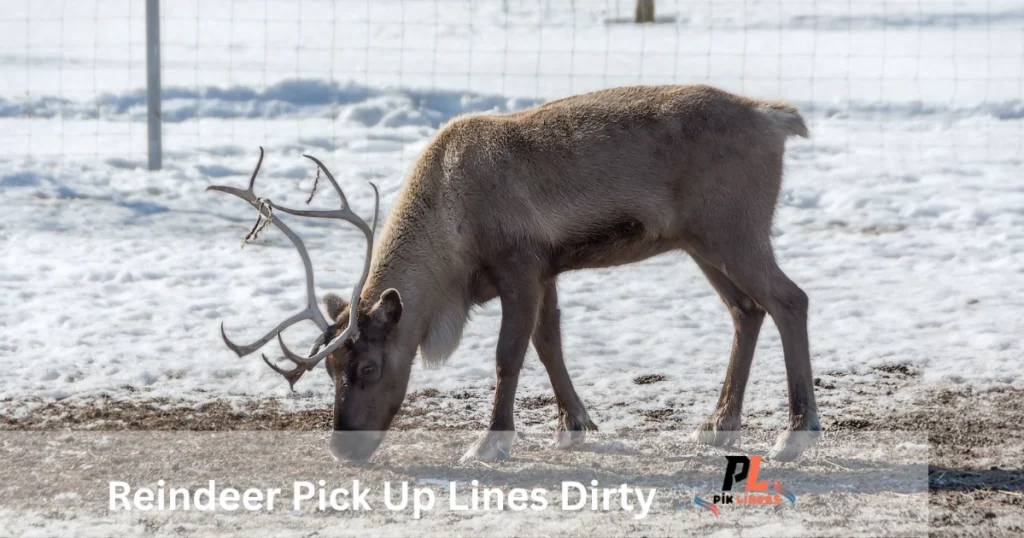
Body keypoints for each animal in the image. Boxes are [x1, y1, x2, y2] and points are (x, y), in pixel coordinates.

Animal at [207, 84, 820, 464]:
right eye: (330, 365)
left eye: (368, 366)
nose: (341, 448)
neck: (450, 224)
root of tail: (777, 119)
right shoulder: (547, 271)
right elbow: (549, 345)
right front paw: (574, 425)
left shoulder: (519, 265)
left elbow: (509, 354)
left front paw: (491, 443)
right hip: (700, 243)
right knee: (747, 310)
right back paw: (720, 422)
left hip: (734, 231)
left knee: (791, 300)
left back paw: (796, 433)